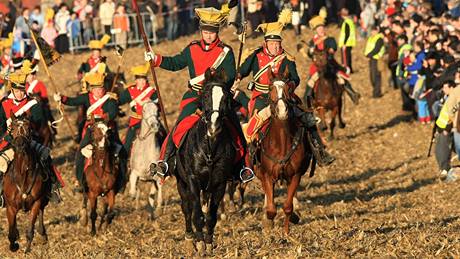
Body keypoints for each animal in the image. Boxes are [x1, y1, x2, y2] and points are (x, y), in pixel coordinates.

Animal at [3, 114, 51, 254]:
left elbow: (30, 230)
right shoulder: (10, 207)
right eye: (12, 128)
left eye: (29, 128)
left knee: (41, 212)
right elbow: (11, 232)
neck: (22, 175)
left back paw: (42, 234)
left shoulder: (36, 202)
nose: (20, 144)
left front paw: (27, 248)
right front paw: (14, 245)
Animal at [175, 68, 241, 256]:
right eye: (205, 96)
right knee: (187, 209)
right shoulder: (193, 181)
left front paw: (209, 243)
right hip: (182, 184)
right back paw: (190, 240)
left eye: (226, 97)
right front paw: (199, 244)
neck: (210, 149)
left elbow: (211, 216)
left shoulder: (219, 183)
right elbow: (197, 215)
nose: (213, 126)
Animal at [253, 68, 314, 235]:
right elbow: (271, 209)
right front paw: (268, 224)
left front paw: (286, 231)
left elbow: (287, 207)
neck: (281, 142)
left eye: (288, 88)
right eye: (270, 88)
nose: (282, 111)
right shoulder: (267, 175)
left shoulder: (295, 175)